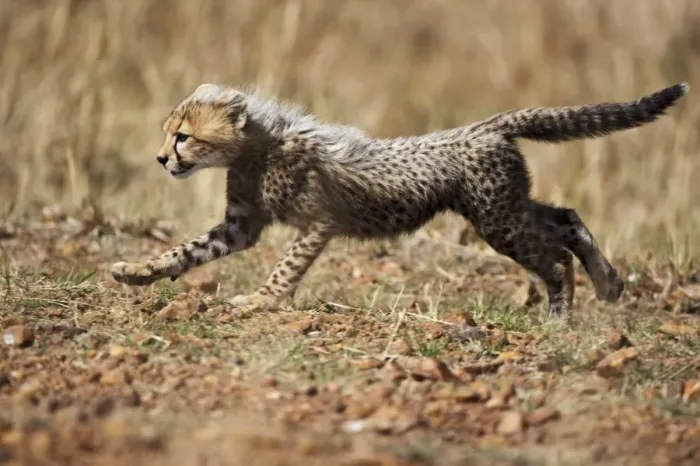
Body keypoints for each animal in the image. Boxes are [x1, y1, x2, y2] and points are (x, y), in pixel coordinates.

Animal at [111, 82, 689, 319]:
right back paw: (608, 283)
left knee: (554, 255)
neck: (258, 146)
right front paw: (137, 271)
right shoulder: (241, 225)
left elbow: (285, 268)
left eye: (183, 136)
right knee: (565, 218)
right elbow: (186, 251)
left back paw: (561, 315)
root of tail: (487, 126)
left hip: (497, 218)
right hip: (505, 206)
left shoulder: (318, 223)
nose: (161, 159)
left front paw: (262, 301)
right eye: (169, 135)